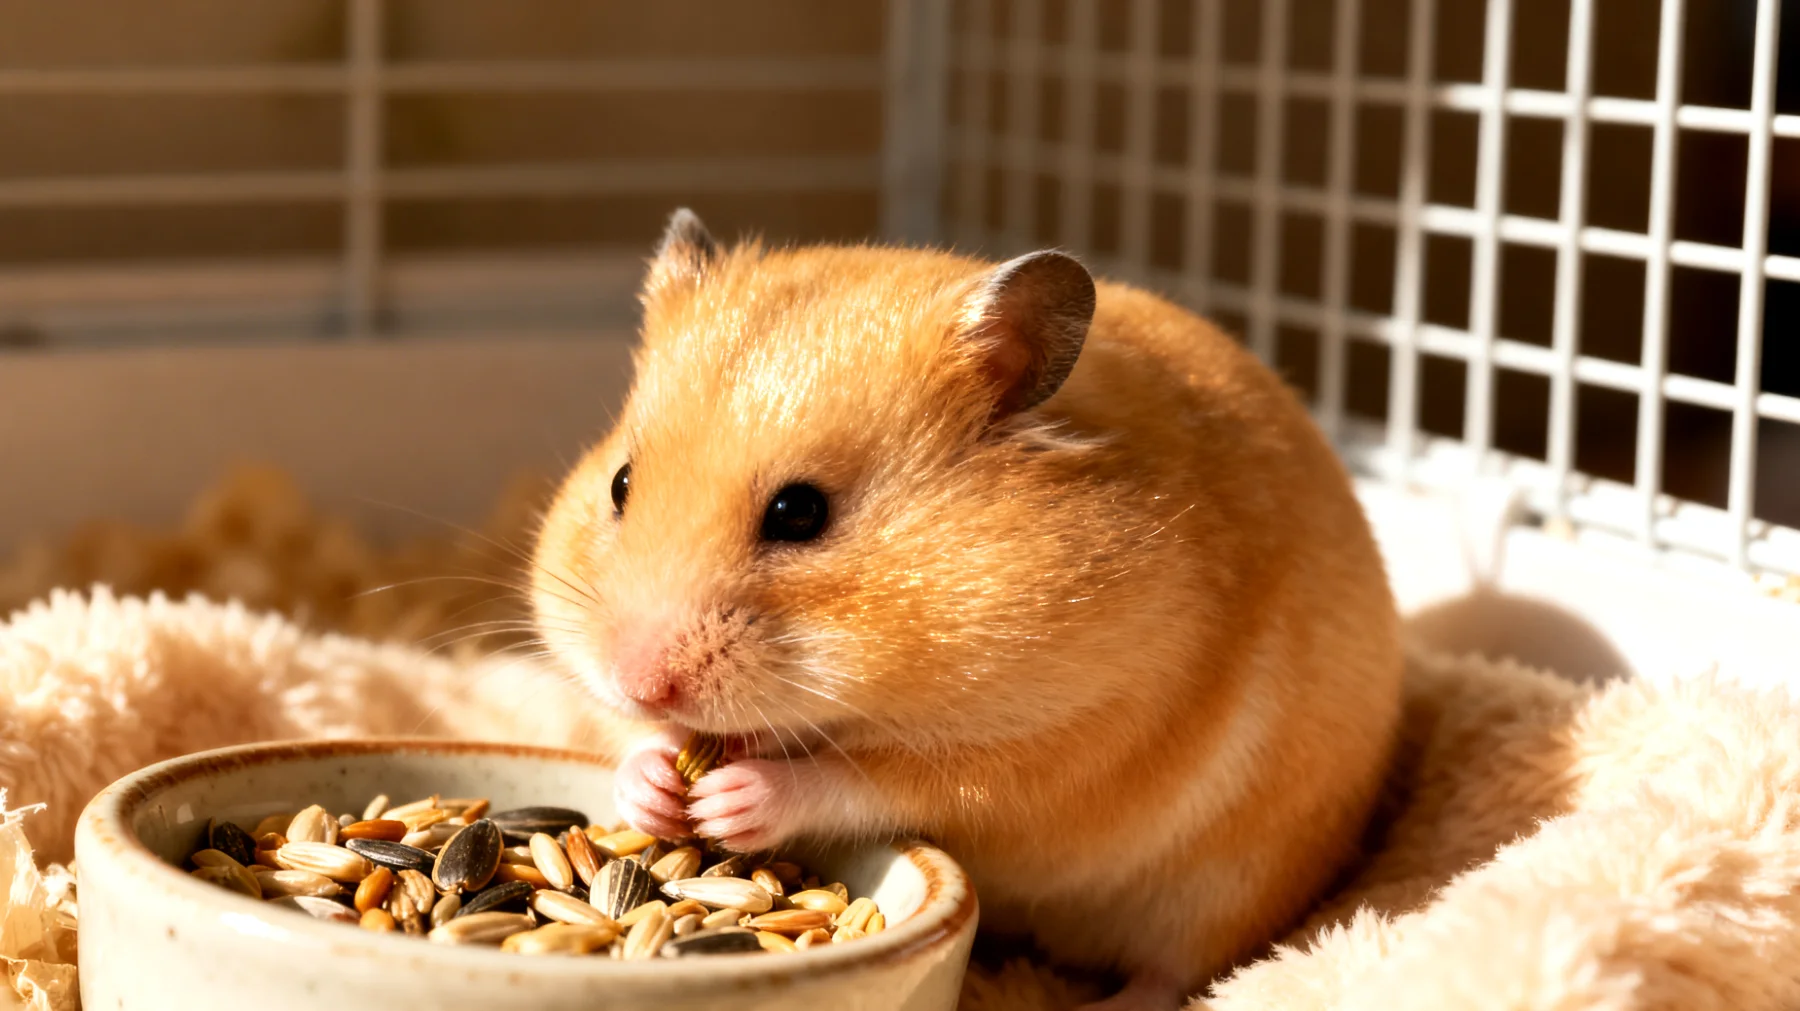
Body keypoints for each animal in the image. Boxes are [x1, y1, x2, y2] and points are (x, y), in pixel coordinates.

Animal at [532, 209, 1403, 1010]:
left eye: (799, 513)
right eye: (619, 484)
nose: (640, 682)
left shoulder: (1072, 736)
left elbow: (870, 782)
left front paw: (730, 798)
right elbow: (631, 742)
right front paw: (654, 782)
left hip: (1229, 885)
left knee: (1179, 975)